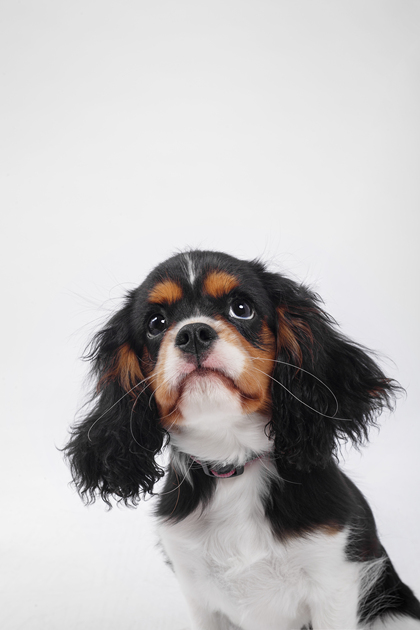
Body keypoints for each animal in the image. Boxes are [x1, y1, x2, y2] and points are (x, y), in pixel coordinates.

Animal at [65, 250, 420, 629]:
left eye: (241, 308)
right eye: (156, 323)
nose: (193, 333)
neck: (232, 461)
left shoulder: (334, 585)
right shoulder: (199, 595)